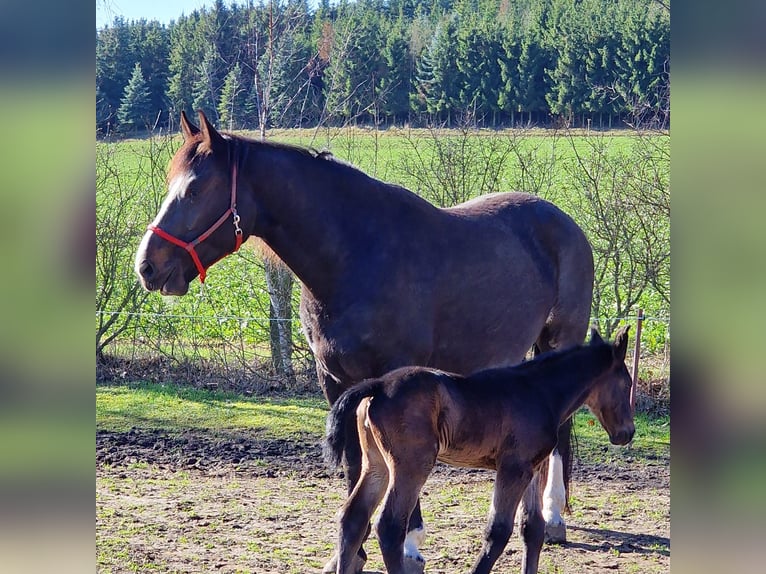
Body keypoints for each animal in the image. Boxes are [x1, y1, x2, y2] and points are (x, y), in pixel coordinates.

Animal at [135, 110, 596, 572]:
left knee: (562, 429)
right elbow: (356, 468)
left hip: (560, 342)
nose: (147, 266)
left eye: (195, 188)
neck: (353, 257)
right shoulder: (335, 382)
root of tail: (564, 222)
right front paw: (350, 555)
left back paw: (553, 517)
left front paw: (410, 544)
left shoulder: (397, 378)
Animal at [324, 328, 636, 574]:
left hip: (376, 463)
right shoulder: (513, 468)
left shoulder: (532, 468)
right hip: (411, 465)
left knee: (352, 517)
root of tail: (378, 385)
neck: (540, 393)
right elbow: (498, 531)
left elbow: (532, 529)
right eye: (627, 384)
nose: (627, 433)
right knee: (389, 526)